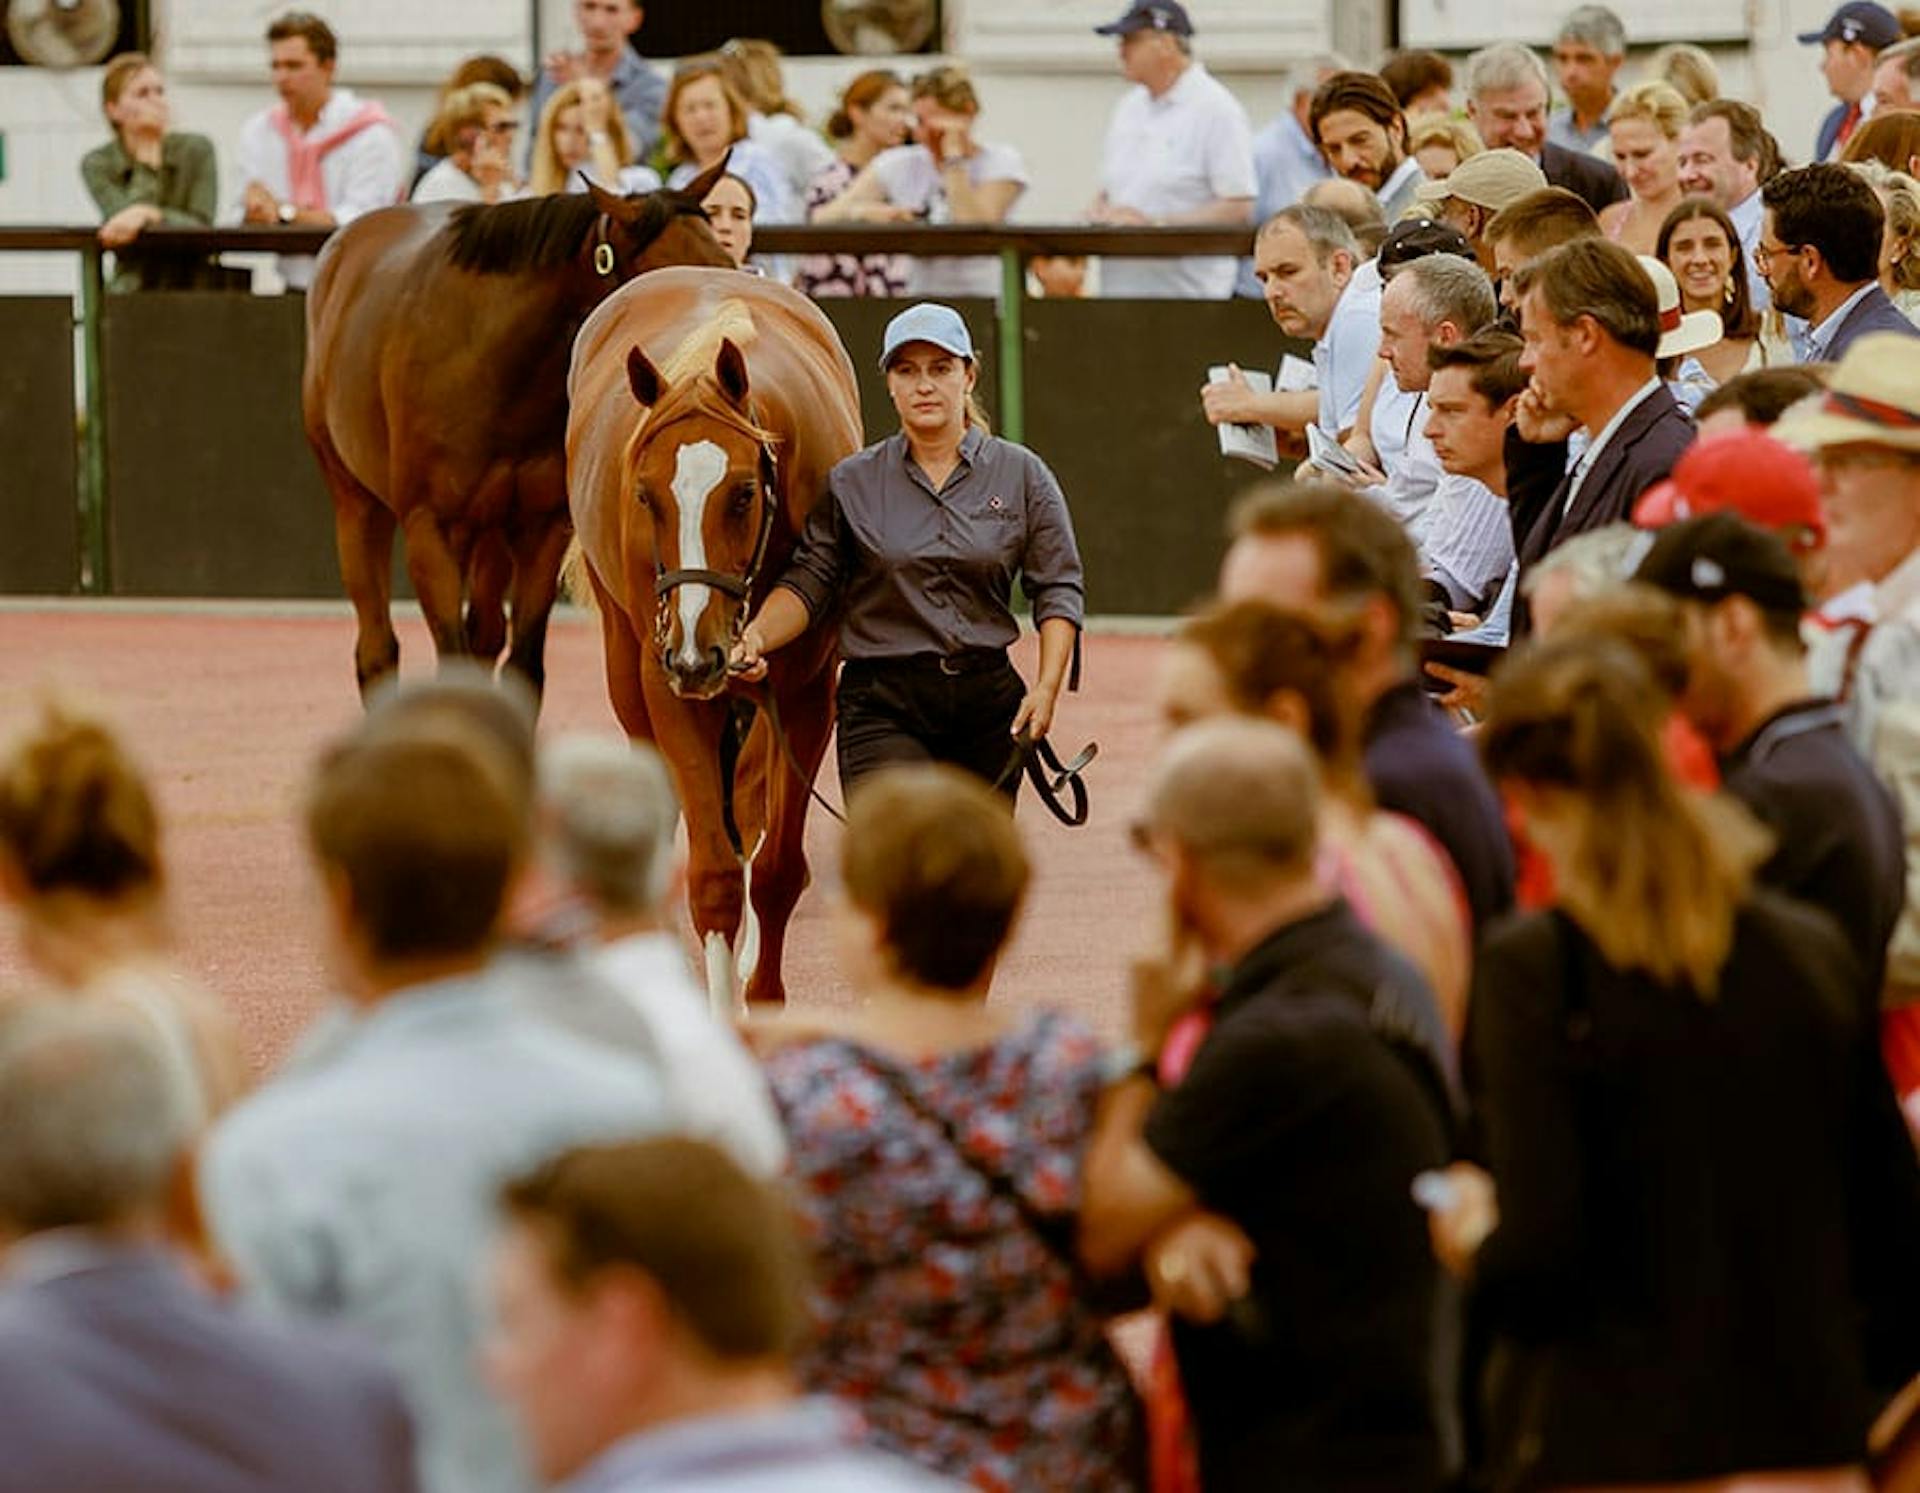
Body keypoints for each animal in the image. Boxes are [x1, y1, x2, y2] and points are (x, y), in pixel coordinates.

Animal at [302, 164, 733, 700]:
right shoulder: (429, 530)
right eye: (666, 277)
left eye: (727, 261)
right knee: (377, 647)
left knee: (485, 631)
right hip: (356, 500)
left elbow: (523, 662)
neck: (492, 359)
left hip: (489, 533)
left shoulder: (541, 528)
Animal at [567, 268, 862, 1010]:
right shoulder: (669, 684)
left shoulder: (806, 692)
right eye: (646, 496)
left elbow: (776, 867)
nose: (698, 654)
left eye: (743, 492)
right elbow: (715, 877)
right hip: (628, 663)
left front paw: (763, 993)